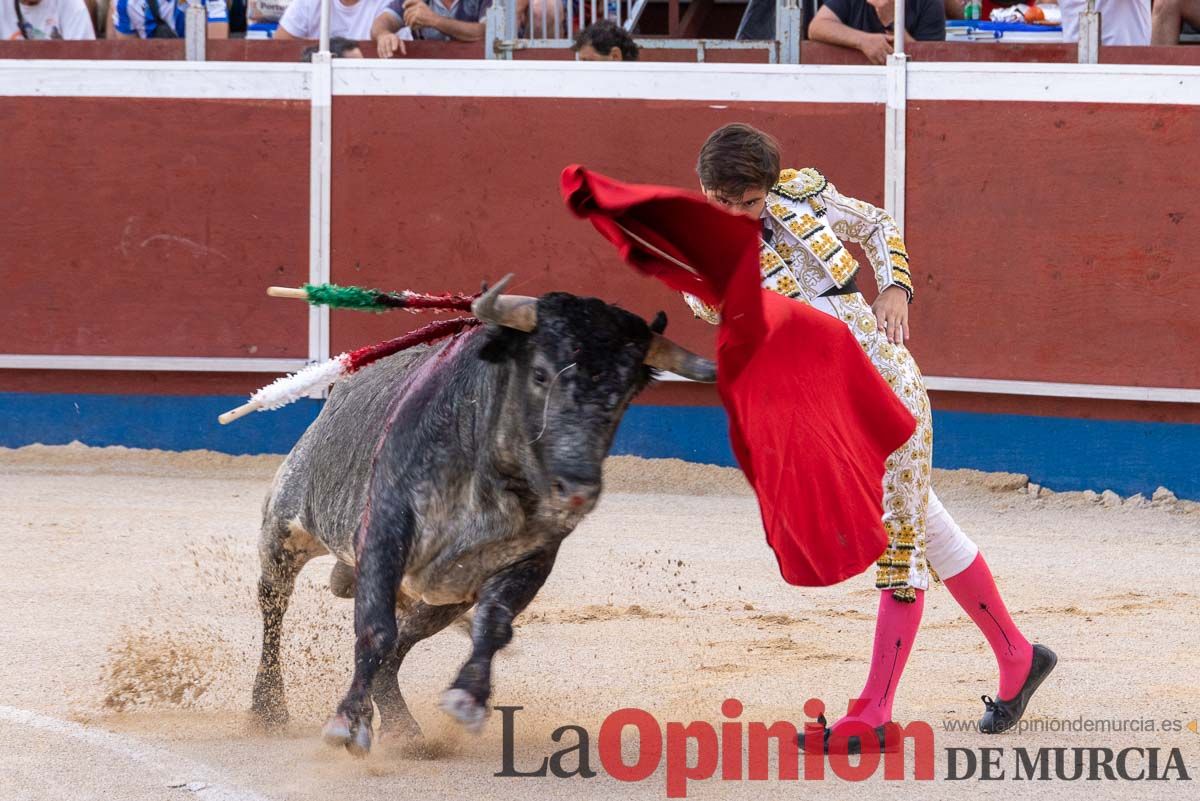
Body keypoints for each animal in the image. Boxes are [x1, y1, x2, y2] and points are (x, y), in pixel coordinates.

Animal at [246, 278, 710, 753]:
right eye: (540, 374)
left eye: (624, 395)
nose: (578, 491)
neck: (493, 477)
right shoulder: (384, 530)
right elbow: (375, 628)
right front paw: (348, 721)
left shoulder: (532, 559)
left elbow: (493, 623)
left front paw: (468, 697)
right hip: (285, 528)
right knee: (274, 603)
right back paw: (268, 708)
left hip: (441, 598)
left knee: (401, 645)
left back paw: (403, 728)